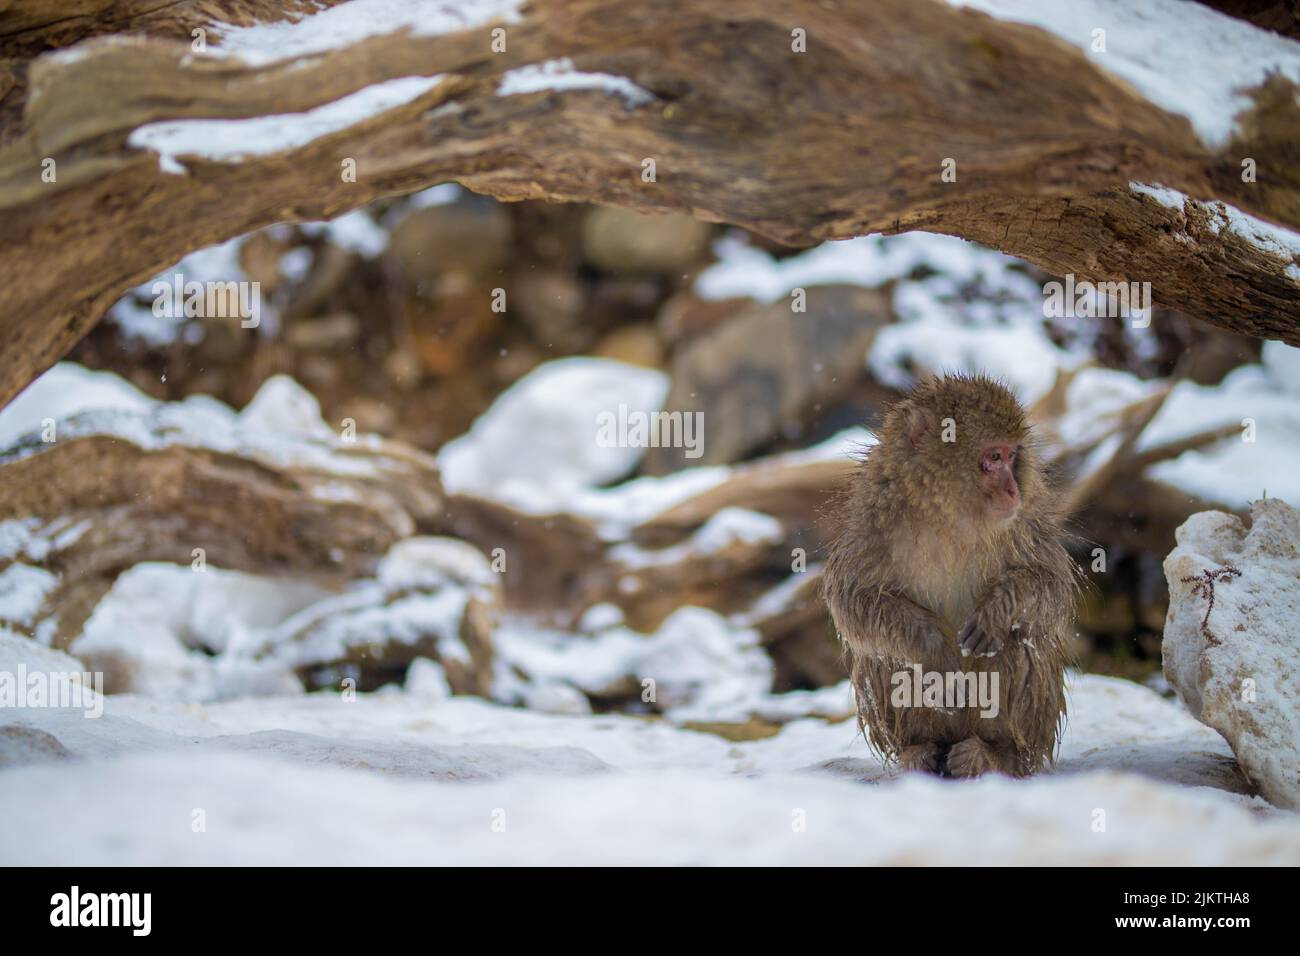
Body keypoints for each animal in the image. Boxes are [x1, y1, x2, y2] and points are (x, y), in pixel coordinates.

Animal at [822, 373, 1079, 778]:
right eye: (993, 457)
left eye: (1012, 456)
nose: (1013, 490)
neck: (948, 513)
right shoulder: (871, 517)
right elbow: (852, 601)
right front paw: (934, 650)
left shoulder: (1025, 520)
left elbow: (1051, 588)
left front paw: (997, 611)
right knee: (891, 658)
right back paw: (920, 750)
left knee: (1012, 642)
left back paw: (994, 754)